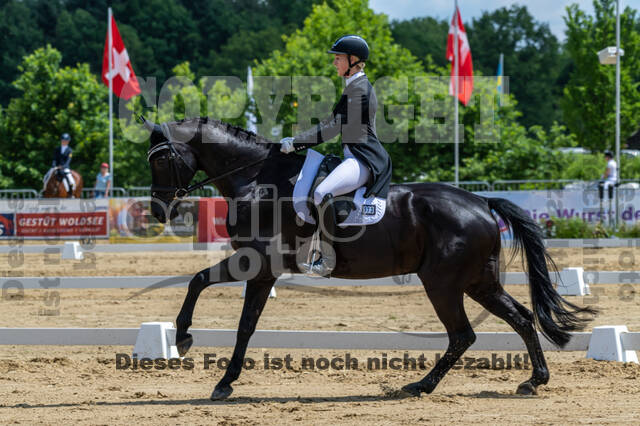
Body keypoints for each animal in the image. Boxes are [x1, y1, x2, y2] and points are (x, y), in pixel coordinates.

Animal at [143, 116, 596, 400]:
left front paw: (191, 347)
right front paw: (207, 363)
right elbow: (223, 305)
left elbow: (219, 301)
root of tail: (482, 202)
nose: (158, 211)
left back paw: (420, 387)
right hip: (478, 282)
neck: (257, 179)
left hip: (444, 283)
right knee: (520, 317)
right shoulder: (259, 269)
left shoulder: (257, 263)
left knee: (463, 334)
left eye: (162, 158)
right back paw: (534, 381)